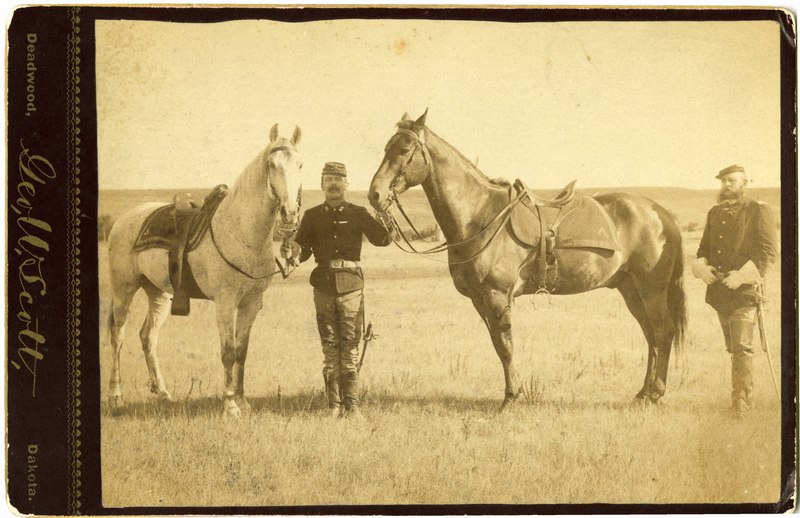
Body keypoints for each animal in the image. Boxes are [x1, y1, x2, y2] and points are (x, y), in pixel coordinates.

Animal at [106, 125, 304, 418]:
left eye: (300, 165)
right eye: (271, 165)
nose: (289, 214)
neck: (240, 231)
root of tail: (123, 219)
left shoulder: (250, 303)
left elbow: (242, 351)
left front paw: (243, 401)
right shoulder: (225, 302)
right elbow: (228, 352)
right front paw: (230, 406)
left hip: (159, 294)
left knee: (148, 337)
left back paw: (163, 394)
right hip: (124, 290)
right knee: (118, 337)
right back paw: (115, 395)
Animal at [368, 111, 688, 408]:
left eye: (405, 149)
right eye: (386, 148)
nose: (375, 195)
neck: (479, 215)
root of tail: (662, 214)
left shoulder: (497, 295)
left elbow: (506, 346)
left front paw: (511, 397)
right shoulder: (480, 299)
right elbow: (498, 345)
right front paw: (515, 392)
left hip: (651, 289)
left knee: (663, 332)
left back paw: (656, 393)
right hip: (630, 289)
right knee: (650, 335)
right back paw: (643, 393)